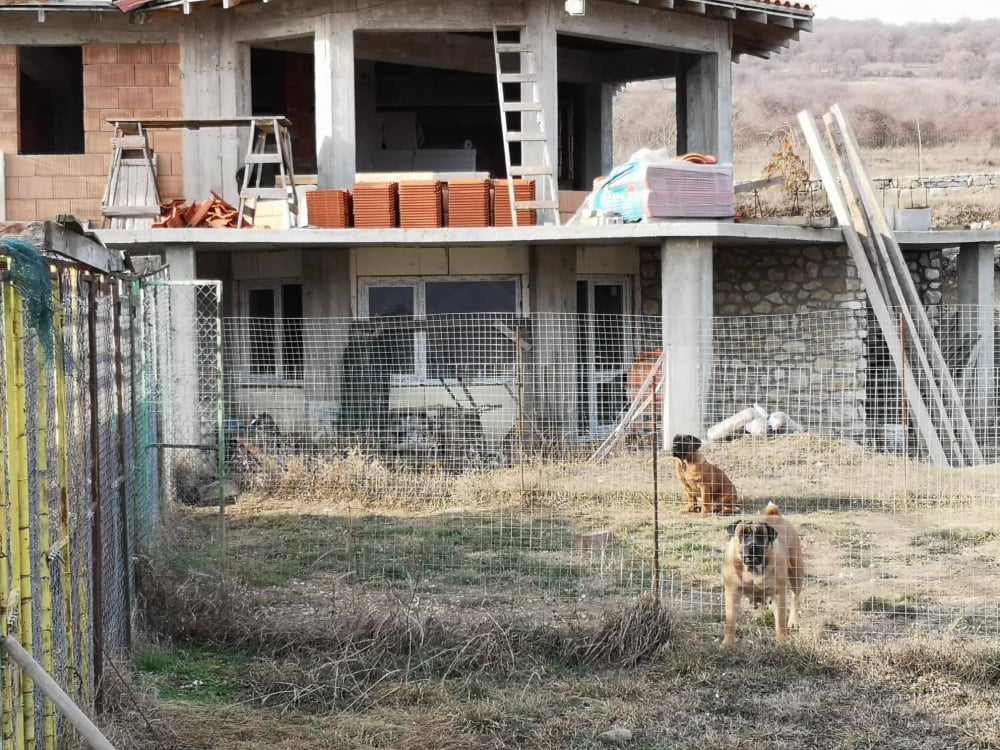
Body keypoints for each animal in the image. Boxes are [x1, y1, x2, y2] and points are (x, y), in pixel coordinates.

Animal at [720, 502, 804, 648]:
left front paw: (782, 643)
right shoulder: (732, 593)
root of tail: (775, 514)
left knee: (795, 597)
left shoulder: (779, 593)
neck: (752, 570)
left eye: (760, 535)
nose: (752, 545)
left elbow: (780, 621)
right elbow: (730, 622)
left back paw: (793, 622)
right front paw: (727, 643)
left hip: (796, 571)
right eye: (743, 534)